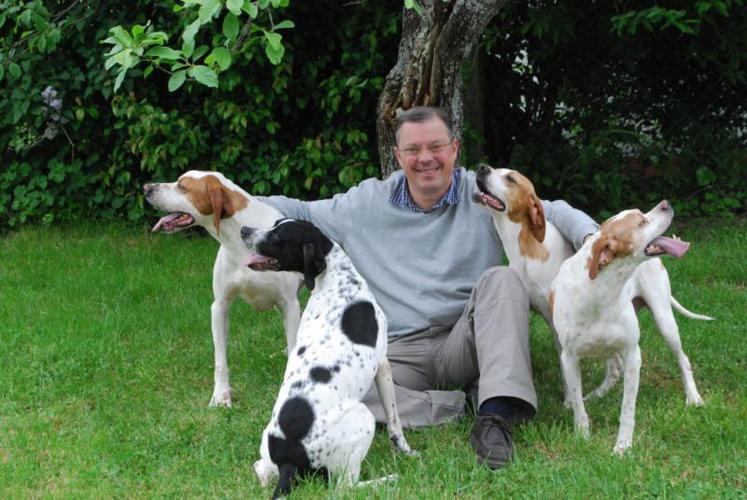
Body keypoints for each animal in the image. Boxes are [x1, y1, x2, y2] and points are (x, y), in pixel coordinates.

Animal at [145, 172, 302, 406]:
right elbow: (220, 360)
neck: (238, 241)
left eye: (183, 186)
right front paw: (221, 396)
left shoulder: (290, 304)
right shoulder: (220, 306)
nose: (146, 188)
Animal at [241, 220, 414, 500]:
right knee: (345, 487)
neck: (336, 282)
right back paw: (388, 480)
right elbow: (394, 420)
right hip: (363, 418)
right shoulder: (383, 365)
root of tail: (287, 460)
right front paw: (406, 451)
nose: (243, 230)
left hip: (266, 449)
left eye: (278, 232)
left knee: (261, 468)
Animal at [476, 164, 712, 406]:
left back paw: (693, 396)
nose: (482, 168)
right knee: (616, 368)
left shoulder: (556, 324)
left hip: (664, 321)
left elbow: (565, 368)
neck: (525, 249)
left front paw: (569, 402)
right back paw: (597, 395)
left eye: (510, 178)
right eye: (497, 170)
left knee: (682, 358)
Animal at [548, 200, 688, 454]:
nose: (665, 204)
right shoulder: (569, 359)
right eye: (641, 221)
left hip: (665, 323)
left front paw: (623, 446)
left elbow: (627, 408)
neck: (599, 292)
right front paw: (582, 437)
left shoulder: (633, 354)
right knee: (613, 370)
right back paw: (596, 395)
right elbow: (577, 405)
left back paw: (694, 398)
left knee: (684, 360)